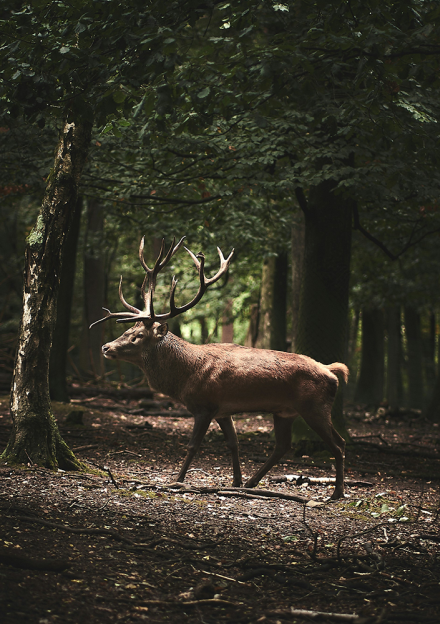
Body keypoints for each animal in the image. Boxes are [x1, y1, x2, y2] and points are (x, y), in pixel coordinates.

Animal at [91, 236, 348, 500]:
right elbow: (233, 443)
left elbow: (193, 445)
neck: (184, 378)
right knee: (283, 445)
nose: (105, 347)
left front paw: (177, 480)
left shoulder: (205, 405)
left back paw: (337, 492)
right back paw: (252, 482)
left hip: (314, 406)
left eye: (138, 336)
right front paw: (236, 480)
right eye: (127, 330)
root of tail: (332, 372)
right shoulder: (223, 411)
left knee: (338, 444)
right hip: (285, 411)